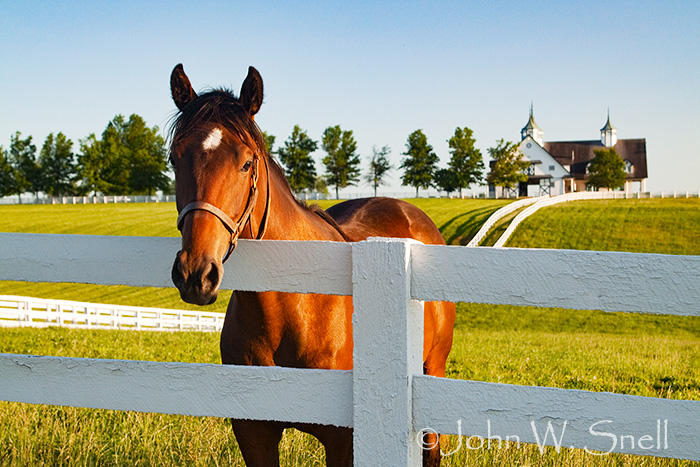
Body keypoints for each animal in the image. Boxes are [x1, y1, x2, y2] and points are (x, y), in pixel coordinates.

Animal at [168, 63, 454, 467]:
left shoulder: (343, 441)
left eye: (246, 163)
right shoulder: (254, 434)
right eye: (174, 159)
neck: (294, 308)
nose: (195, 273)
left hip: (433, 371)